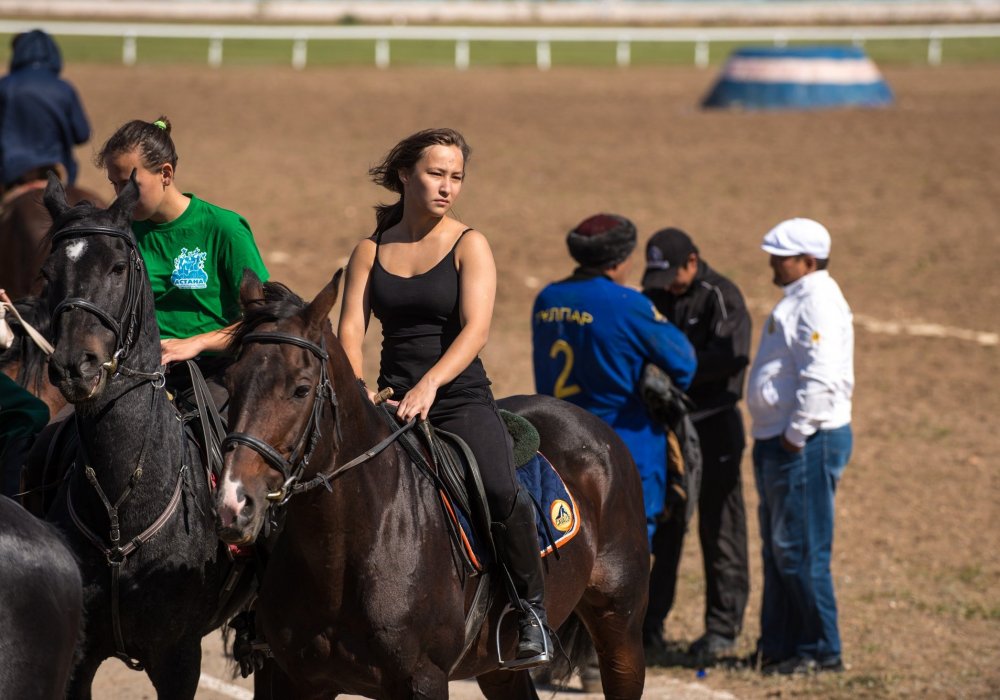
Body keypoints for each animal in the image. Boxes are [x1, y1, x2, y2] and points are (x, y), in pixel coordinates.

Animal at [35, 174, 254, 696]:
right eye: (48, 274)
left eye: (118, 267)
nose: (75, 365)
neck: (122, 506)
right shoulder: (80, 655)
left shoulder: (178, 658)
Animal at [215, 272, 648, 700]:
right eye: (230, 382)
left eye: (301, 389)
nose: (234, 504)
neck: (345, 547)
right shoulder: (297, 680)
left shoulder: (423, 679)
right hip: (496, 667)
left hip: (620, 631)